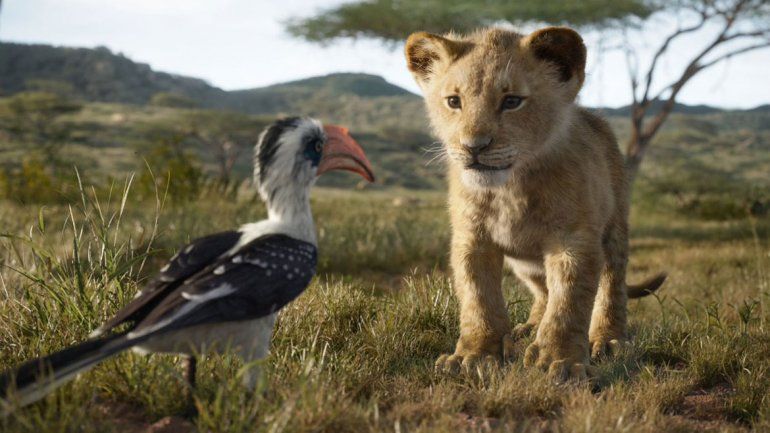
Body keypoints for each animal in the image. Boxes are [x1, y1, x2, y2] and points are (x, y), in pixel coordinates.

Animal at [404, 26, 665, 381]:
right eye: (454, 101)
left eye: (512, 101)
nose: (473, 147)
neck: (510, 188)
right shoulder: (472, 239)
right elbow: (478, 299)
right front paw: (474, 356)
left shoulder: (574, 240)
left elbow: (569, 302)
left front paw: (561, 361)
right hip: (524, 263)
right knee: (543, 291)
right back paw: (527, 328)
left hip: (614, 229)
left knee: (612, 285)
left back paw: (608, 340)